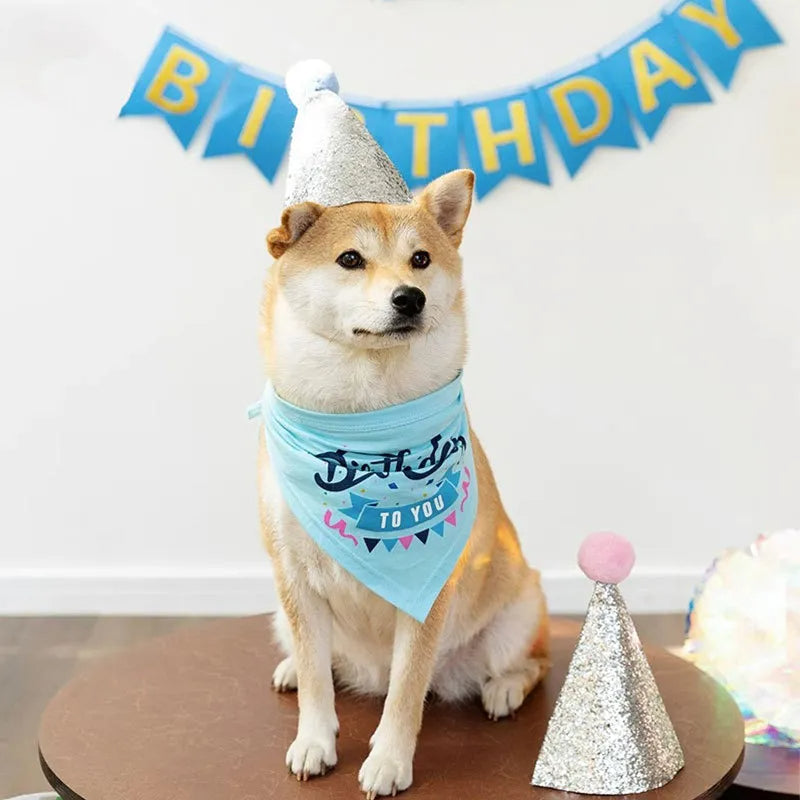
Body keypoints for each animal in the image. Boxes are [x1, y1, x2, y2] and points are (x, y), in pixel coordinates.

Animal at [256, 166, 552, 796]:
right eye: (350, 259)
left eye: (420, 259)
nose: (408, 297)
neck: (366, 423)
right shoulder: (294, 578)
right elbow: (317, 682)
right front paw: (314, 741)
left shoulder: (427, 596)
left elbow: (406, 694)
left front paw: (389, 762)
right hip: (280, 612)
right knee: (316, 659)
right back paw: (292, 665)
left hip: (517, 614)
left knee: (532, 662)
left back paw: (504, 687)